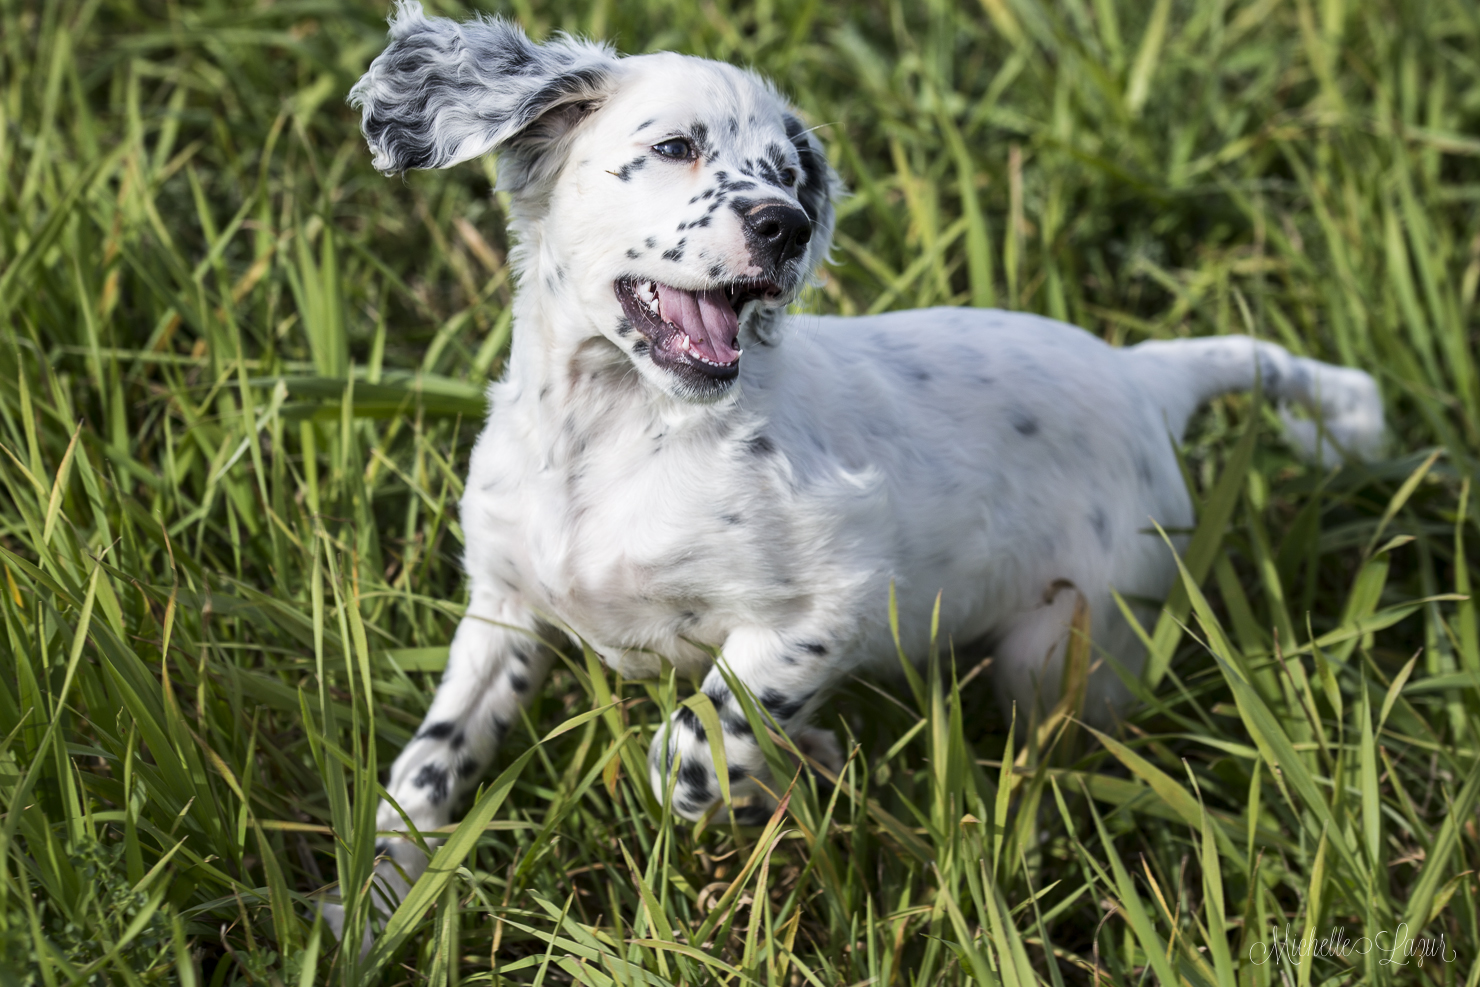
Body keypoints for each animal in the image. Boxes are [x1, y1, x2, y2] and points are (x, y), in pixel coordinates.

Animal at [327, 0, 1385, 941]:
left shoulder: (830, 604)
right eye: (674, 148)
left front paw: (789, 764)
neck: (618, 430)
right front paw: (367, 917)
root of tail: (1143, 375)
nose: (786, 225)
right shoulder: (504, 610)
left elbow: (692, 747)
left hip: (1067, 645)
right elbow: (421, 777)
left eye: (791, 176)